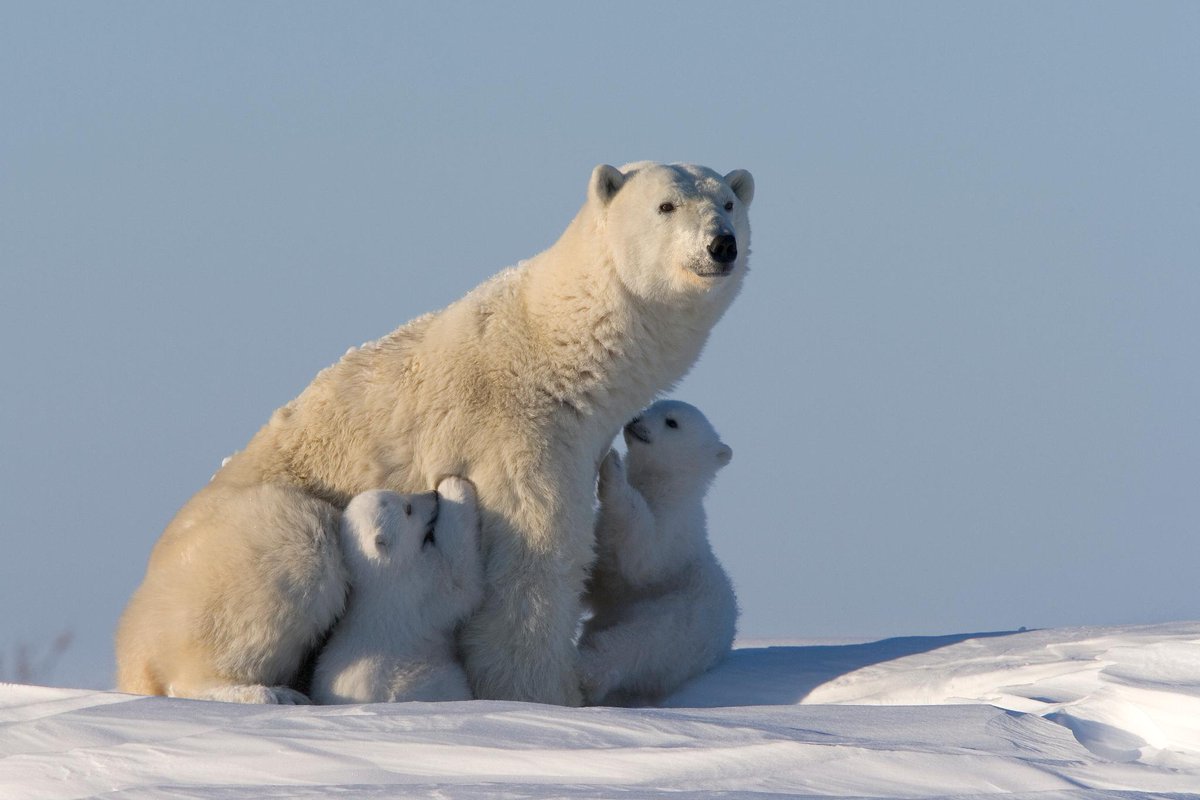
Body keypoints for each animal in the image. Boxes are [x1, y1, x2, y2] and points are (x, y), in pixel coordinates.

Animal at [310, 477, 483, 704]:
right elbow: (460, 581)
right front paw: (454, 486)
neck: (380, 574)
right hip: (425, 678)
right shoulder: (418, 587)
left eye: (400, 494)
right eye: (407, 509)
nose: (432, 494)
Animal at [580, 400, 738, 706]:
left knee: (633, 643)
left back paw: (587, 669)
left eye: (672, 422)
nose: (634, 419)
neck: (665, 488)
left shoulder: (673, 536)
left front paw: (613, 467)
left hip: (675, 627)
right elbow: (602, 575)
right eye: (652, 406)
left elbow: (643, 555)